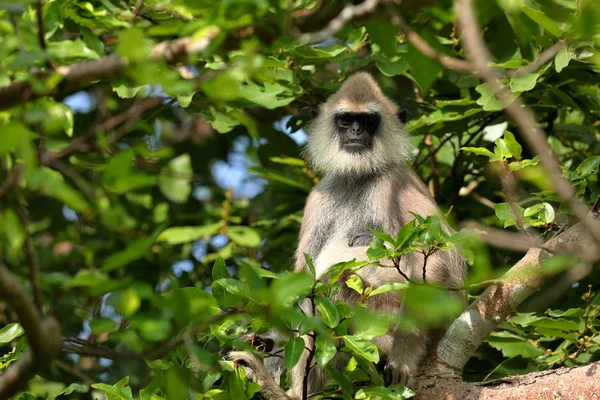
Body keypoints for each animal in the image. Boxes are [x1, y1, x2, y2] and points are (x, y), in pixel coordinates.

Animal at [227, 72, 466, 400]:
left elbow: (440, 264)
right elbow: (301, 277)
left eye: (366, 121)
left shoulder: (396, 182)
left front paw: (403, 360)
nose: (355, 131)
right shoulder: (320, 195)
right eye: (345, 120)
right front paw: (266, 339)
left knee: (333, 285)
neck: (359, 177)